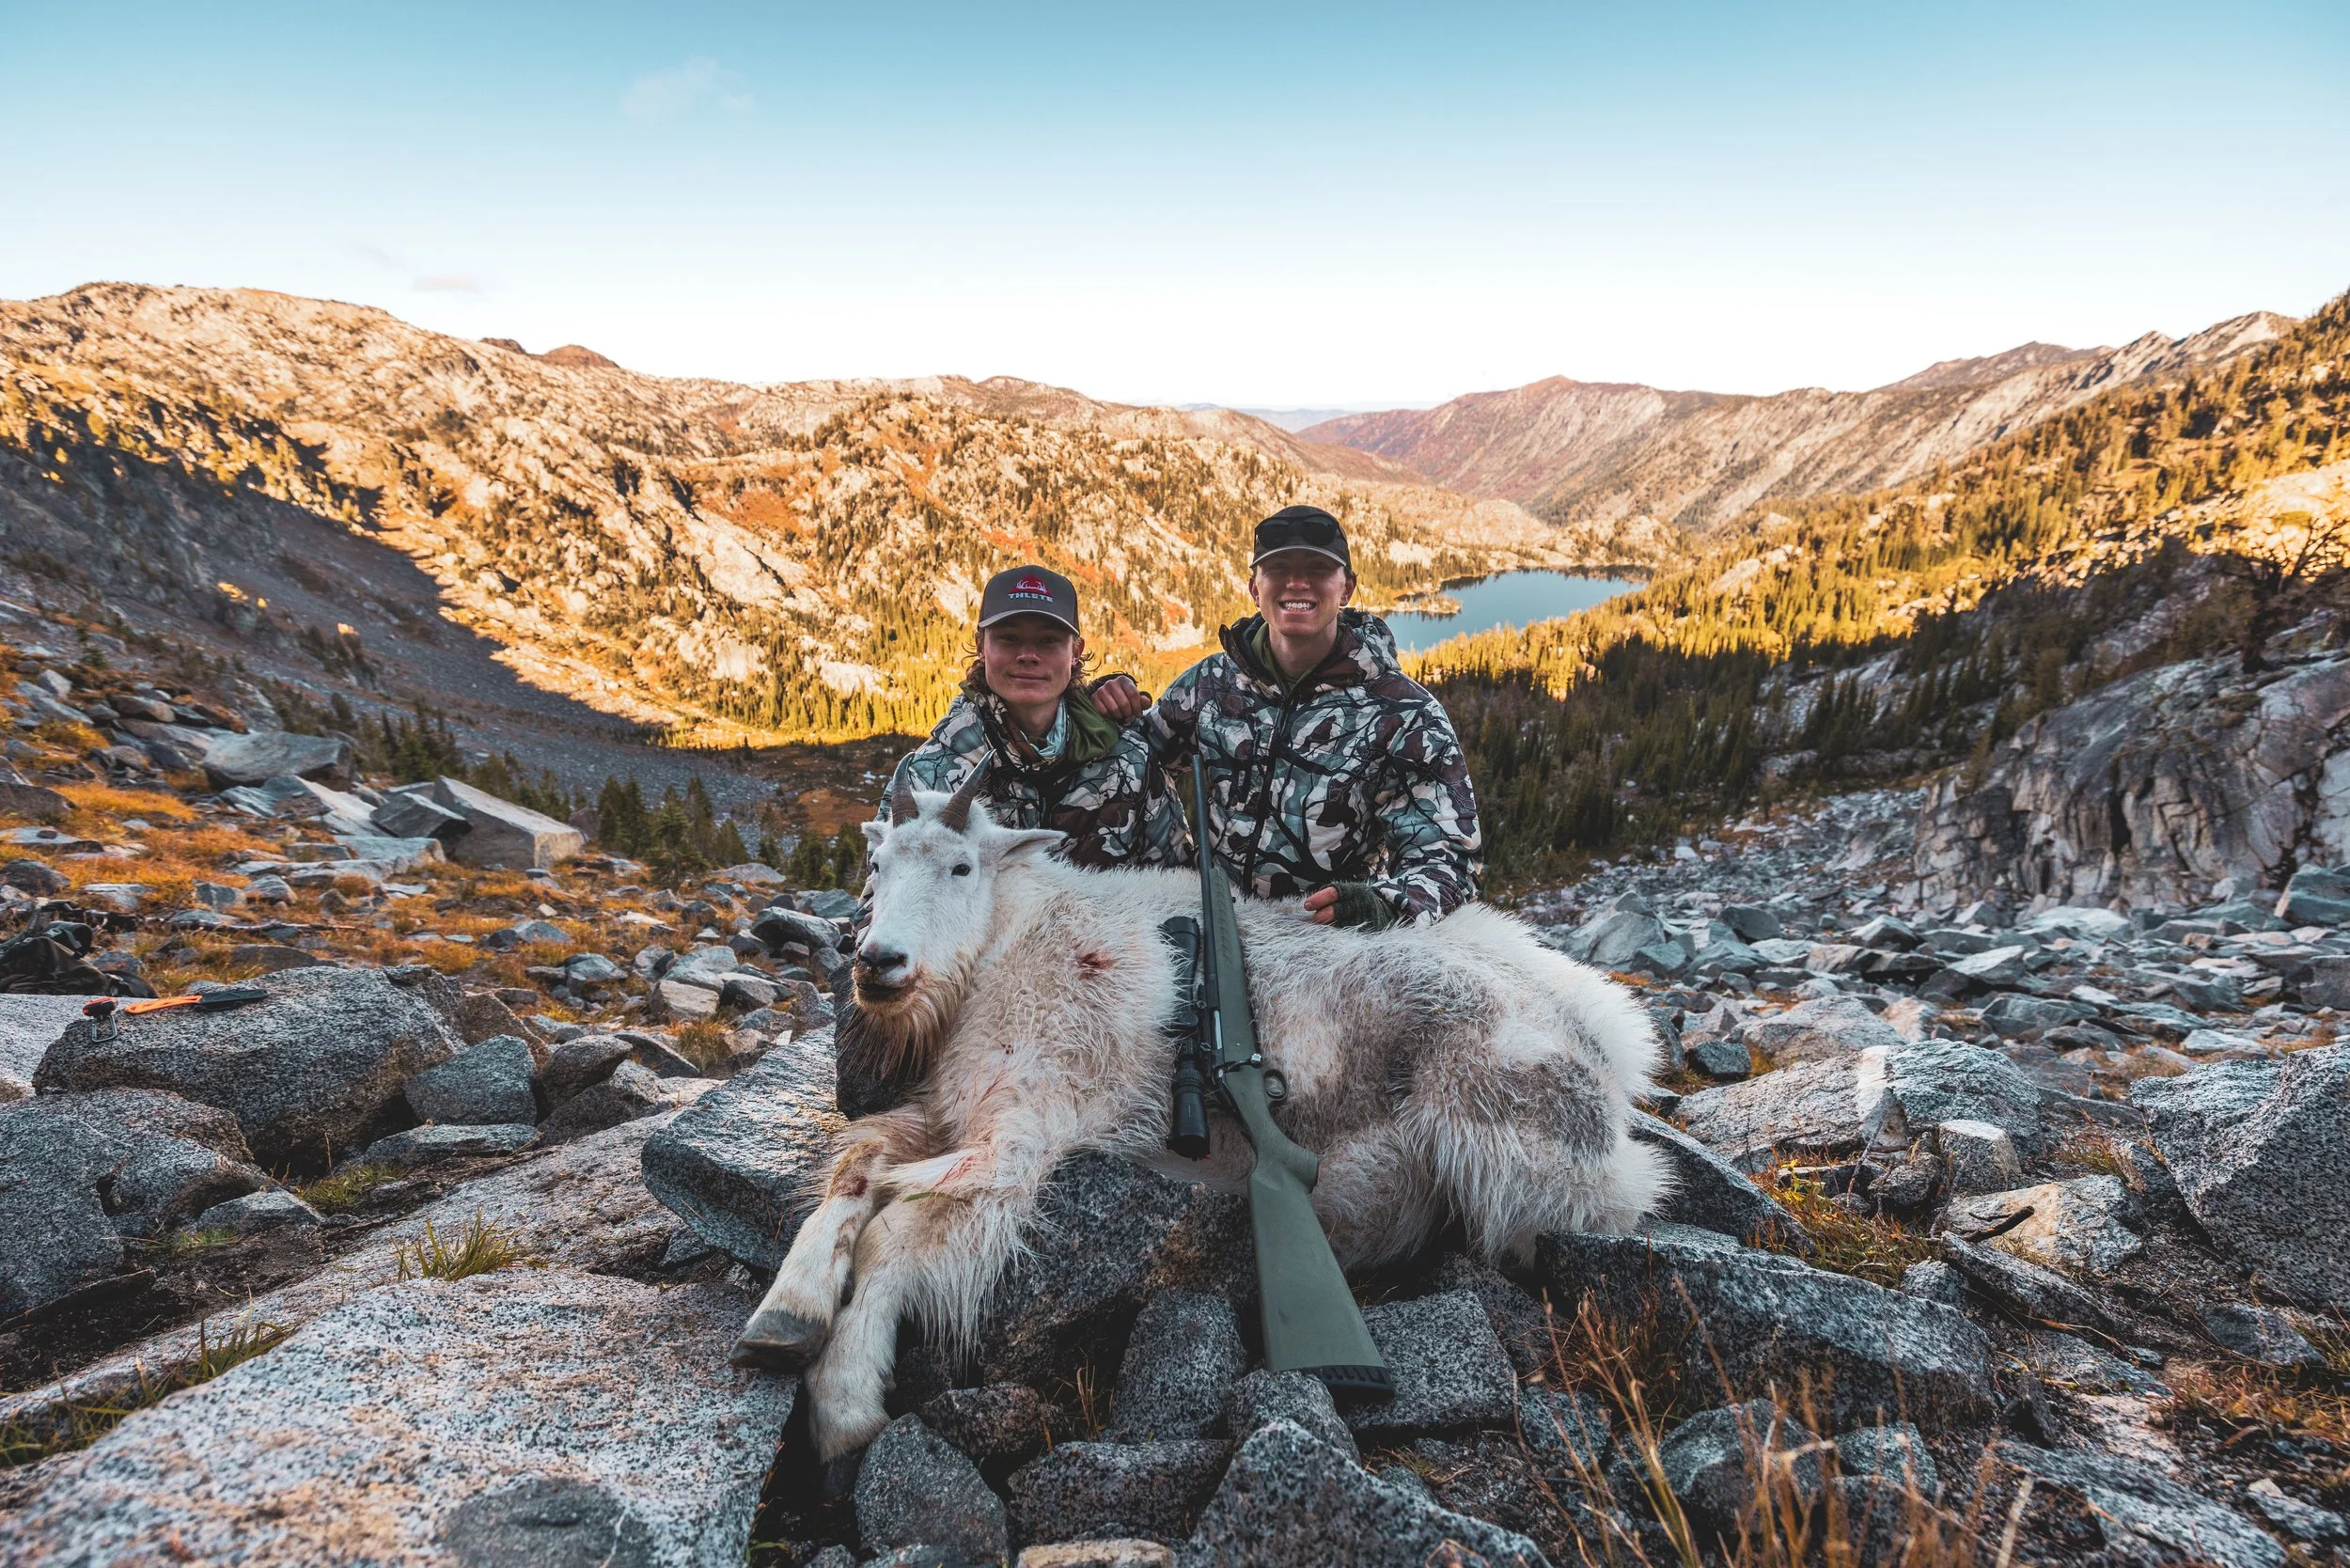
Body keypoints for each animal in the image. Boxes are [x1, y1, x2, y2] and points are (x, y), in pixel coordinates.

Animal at [737, 777, 1669, 1459]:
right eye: (878, 864)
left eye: (963, 867)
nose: (879, 963)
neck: (1012, 945)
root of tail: (1609, 1054)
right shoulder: (945, 1114)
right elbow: (854, 1168)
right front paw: (785, 1319)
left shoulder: (1019, 1143)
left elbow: (896, 1230)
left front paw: (845, 1408)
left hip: (1510, 1148)